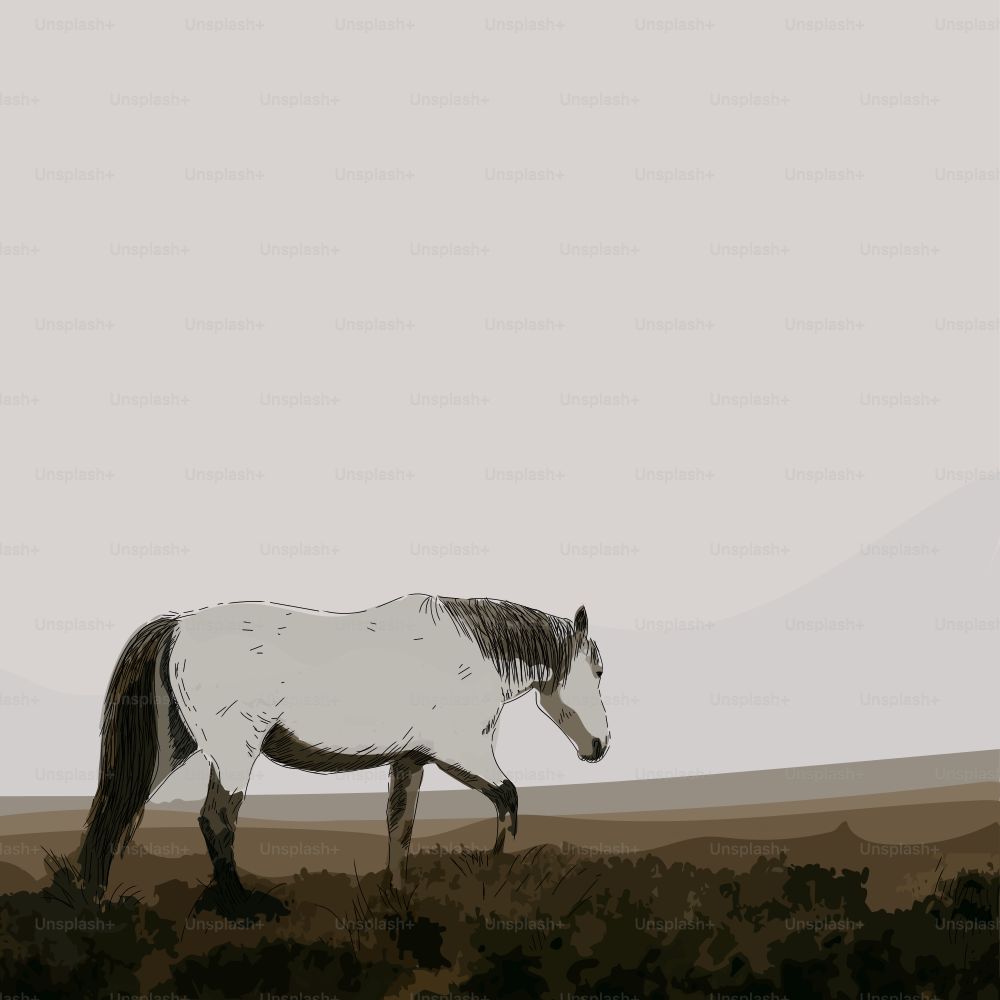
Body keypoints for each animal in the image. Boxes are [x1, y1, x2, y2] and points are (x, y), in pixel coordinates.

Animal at [74, 593, 610, 917]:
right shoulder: (462, 752)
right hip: (233, 753)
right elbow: (508, 797)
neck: (472, 655)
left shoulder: (411, 760)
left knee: (117, 813)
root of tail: (176, 625)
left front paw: (397, 897)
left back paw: (96, 897)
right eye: (599, 669)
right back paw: (243, 909)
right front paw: (494, 872)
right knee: (217, 819)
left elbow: (400, 827)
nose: (600, 747)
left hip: (172, 748)